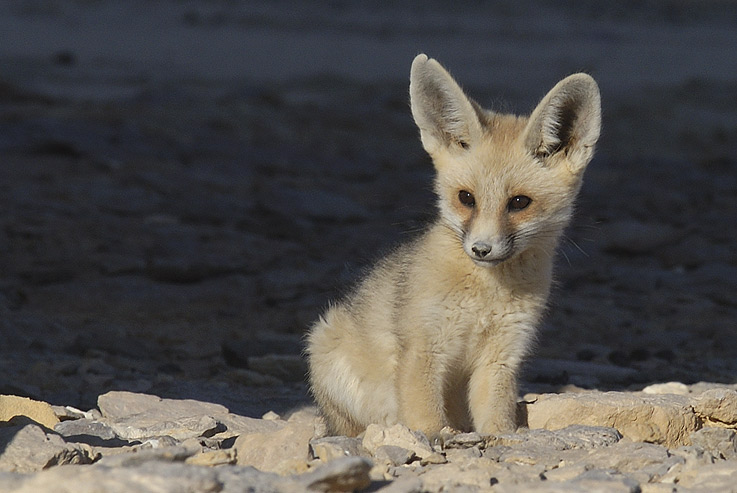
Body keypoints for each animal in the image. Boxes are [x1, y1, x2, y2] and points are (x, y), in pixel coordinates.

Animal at [304, 53, 600, 436]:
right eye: (466, 198)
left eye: (520, 203)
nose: (481, 249)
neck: (484, 299)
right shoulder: (423, 348)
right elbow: (426, 419)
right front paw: (432, 439)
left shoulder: (503, 355)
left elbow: (497, 422)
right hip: (325, 348)